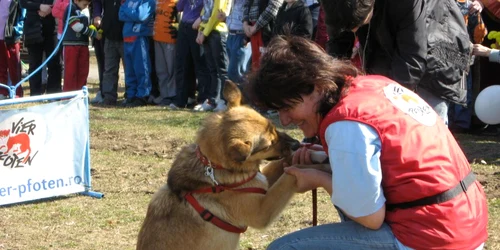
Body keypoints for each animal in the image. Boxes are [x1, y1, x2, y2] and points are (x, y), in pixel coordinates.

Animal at [138, 80, 332, 250]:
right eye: (268, 145)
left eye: (273, 128)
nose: (297, 144)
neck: (214, 168)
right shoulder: (262, 210)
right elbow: (289, 174)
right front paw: (319, 169)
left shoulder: (260, 180)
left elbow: (286, 162)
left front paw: (318, 154)